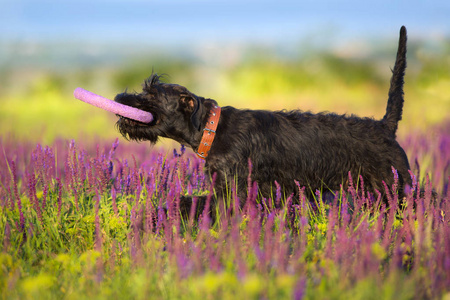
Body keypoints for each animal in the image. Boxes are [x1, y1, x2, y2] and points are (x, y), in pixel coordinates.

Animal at [115, 27, 412, 207]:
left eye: (152, 94)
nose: (119, 97)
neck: (212, 129)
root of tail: (385, 127)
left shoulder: (234, 189)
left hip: (394, 184)